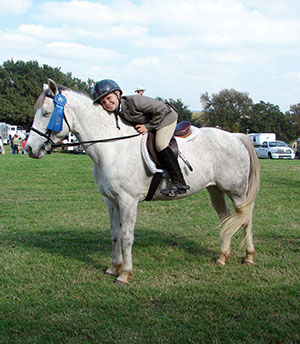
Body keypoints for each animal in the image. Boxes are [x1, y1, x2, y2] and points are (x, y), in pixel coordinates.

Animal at [26, 79, 260, 284]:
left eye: (46, 113)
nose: (29, 148)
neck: (112, 147)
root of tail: (237, 137)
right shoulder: (110, 200)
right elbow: (115, 234)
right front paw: (113, 268)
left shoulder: (128, 200)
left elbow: (127, 236)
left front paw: (124, 274)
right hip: (215, 190)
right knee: (226, 218)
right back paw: (222, 257)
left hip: (237, 192)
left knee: (245, 220)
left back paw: (249, 257)